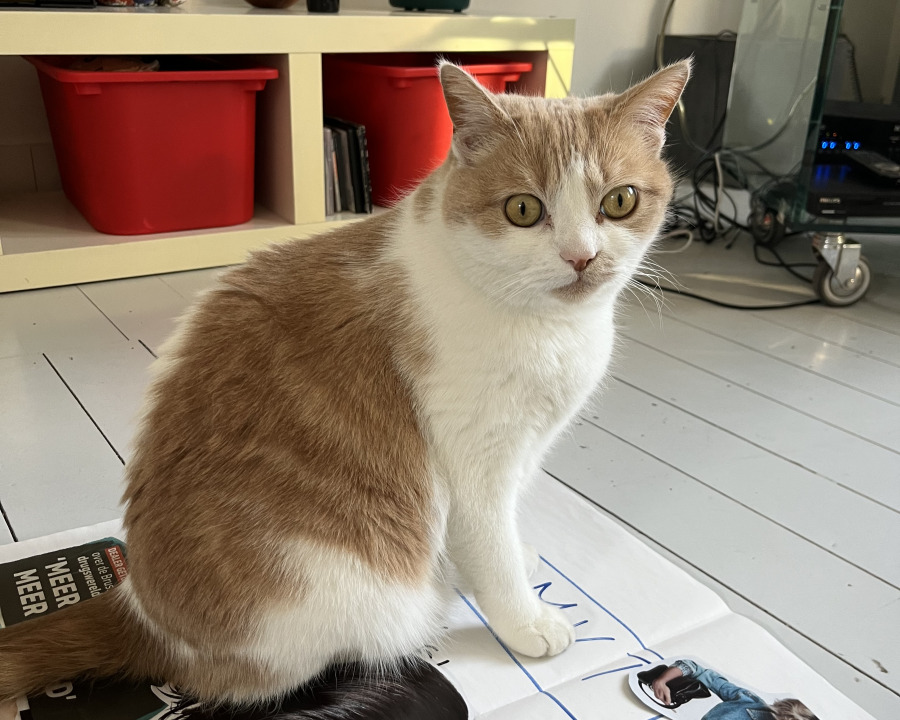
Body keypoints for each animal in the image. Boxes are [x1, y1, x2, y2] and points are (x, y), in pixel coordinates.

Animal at [0, 59, 690, 709]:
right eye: (523, 210)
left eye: (620, 201)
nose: (582, 257)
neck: (551, 328)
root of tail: (142, 614)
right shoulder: (475, 461)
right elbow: (489, 544)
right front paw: (526, 619)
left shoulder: (524, 450)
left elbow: (503, 529)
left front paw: (517, 558)